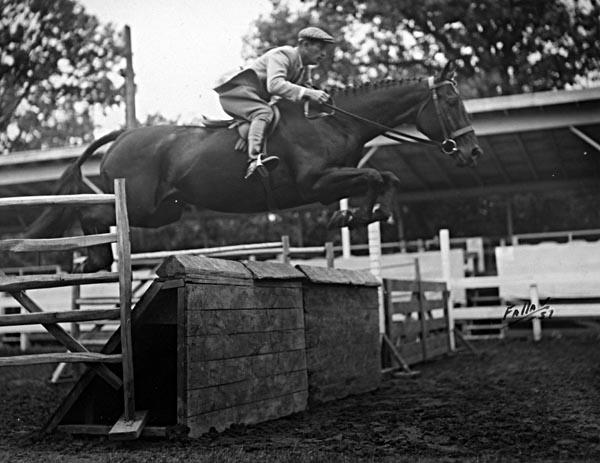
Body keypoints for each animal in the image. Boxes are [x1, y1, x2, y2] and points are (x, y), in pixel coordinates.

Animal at [27, 61, 482, 272]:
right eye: (451, 101)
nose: (473, 152)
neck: (337, 121)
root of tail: (122, 136)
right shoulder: (315, 183)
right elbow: (375, 174)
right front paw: (356, 215)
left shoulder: (330, 184)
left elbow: (386, 176)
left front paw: (363, 214)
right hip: (139, 204)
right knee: (94, 212)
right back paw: (93, 260)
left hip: (165, 211)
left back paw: (93, 261)